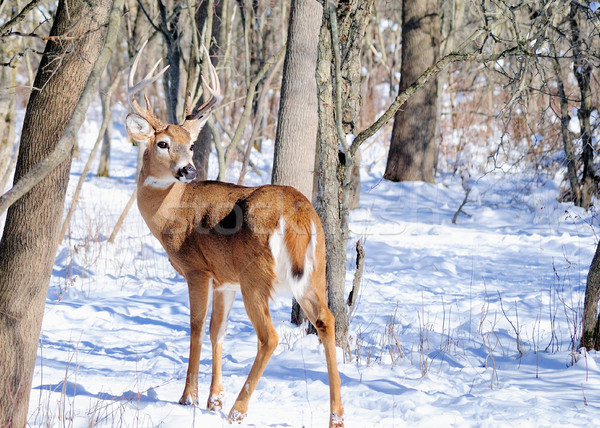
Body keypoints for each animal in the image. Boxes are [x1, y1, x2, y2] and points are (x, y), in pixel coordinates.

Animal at [124, 41, 344, 426]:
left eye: (190, 144)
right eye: (163, 143)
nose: (189, 169)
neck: (170, 212)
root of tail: (298, 213)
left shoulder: (197, 269)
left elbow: (196, 327)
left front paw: (190, 397)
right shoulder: (223, 279)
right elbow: (218, 331)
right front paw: (213, 398)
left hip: (256, 275)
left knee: (269, 336)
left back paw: (238, 410)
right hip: (314, 270)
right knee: (325, 320)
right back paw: (336, 415)